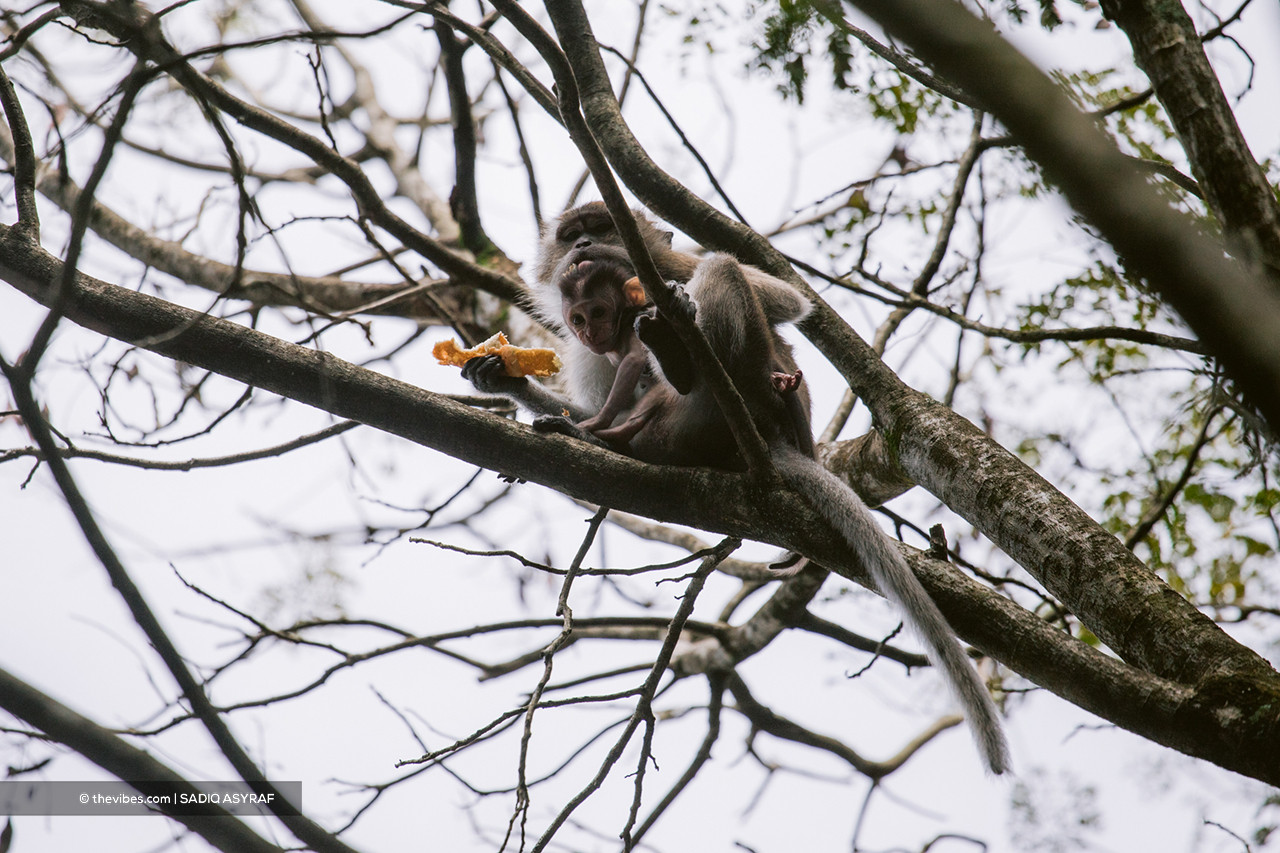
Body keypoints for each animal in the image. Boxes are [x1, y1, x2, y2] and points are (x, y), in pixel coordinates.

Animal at [532, 253, 1010, 775]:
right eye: (578, 318)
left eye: (596, 312)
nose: (588, 332)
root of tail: (764, 429)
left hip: (725, 390)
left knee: (719, 276)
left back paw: (669, 364)